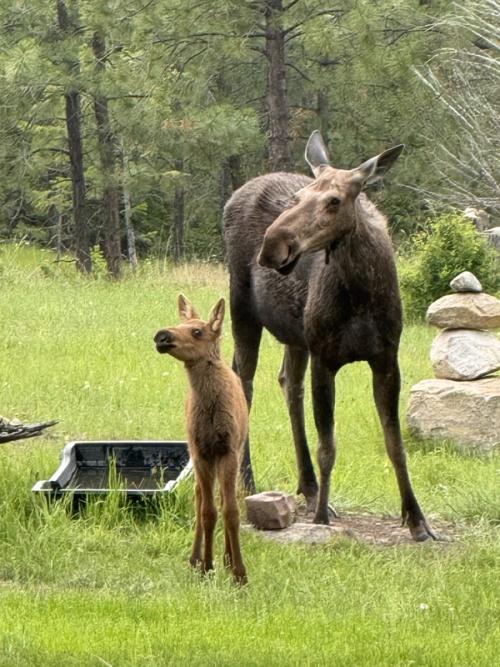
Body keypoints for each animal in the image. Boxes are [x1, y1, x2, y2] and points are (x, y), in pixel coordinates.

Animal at [154, 295, 248, 583]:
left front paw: (239, 572)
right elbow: (207, 511)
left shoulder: (228, 449)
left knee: (225, 499)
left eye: (197, 331)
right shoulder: (200, 451)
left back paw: (227, 558)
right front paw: (207, 565)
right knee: (199, 498)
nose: (162, 335)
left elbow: (231, 510)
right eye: (178, 324)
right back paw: (195, 558)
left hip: (237, 449)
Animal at [224, 130, 435, 542]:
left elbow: (396, 444)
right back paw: (248, 482)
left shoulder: (386, 359)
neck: (361, 293)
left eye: (334, 201)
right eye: (298, 197)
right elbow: (329, 446)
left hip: (295, 335)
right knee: (244, 379)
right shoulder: (326, 357)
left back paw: (306, 487)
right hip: (242, 308)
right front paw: (321, 519)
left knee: (287, 382)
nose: (273, 245)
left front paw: (417, 520)